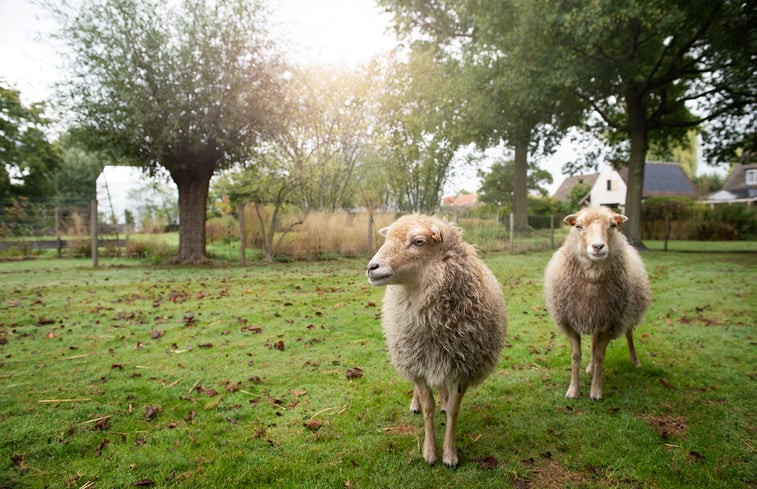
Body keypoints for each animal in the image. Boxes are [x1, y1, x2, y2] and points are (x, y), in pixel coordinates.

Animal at [366, 214, 508, 466]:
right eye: (387, 238)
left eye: (419, 241)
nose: (371, 268)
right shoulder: (418, 364)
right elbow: (427, 407)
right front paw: (430, 452)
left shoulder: (462, 366)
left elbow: (453, 410)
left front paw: (450, 454)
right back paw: (415, 403)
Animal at [544, 206, 648, 400]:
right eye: (578, 226)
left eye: (613, 225)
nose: (598, 247)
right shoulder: (570, 323)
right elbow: (576, 356)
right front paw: (573, 391)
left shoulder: (611, 324)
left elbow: (600, 356)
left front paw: (596, 391)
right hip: (596, 317)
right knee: (593, 343)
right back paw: (590, 368)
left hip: (627, 313)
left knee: (629, 335)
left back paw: (635, 361)